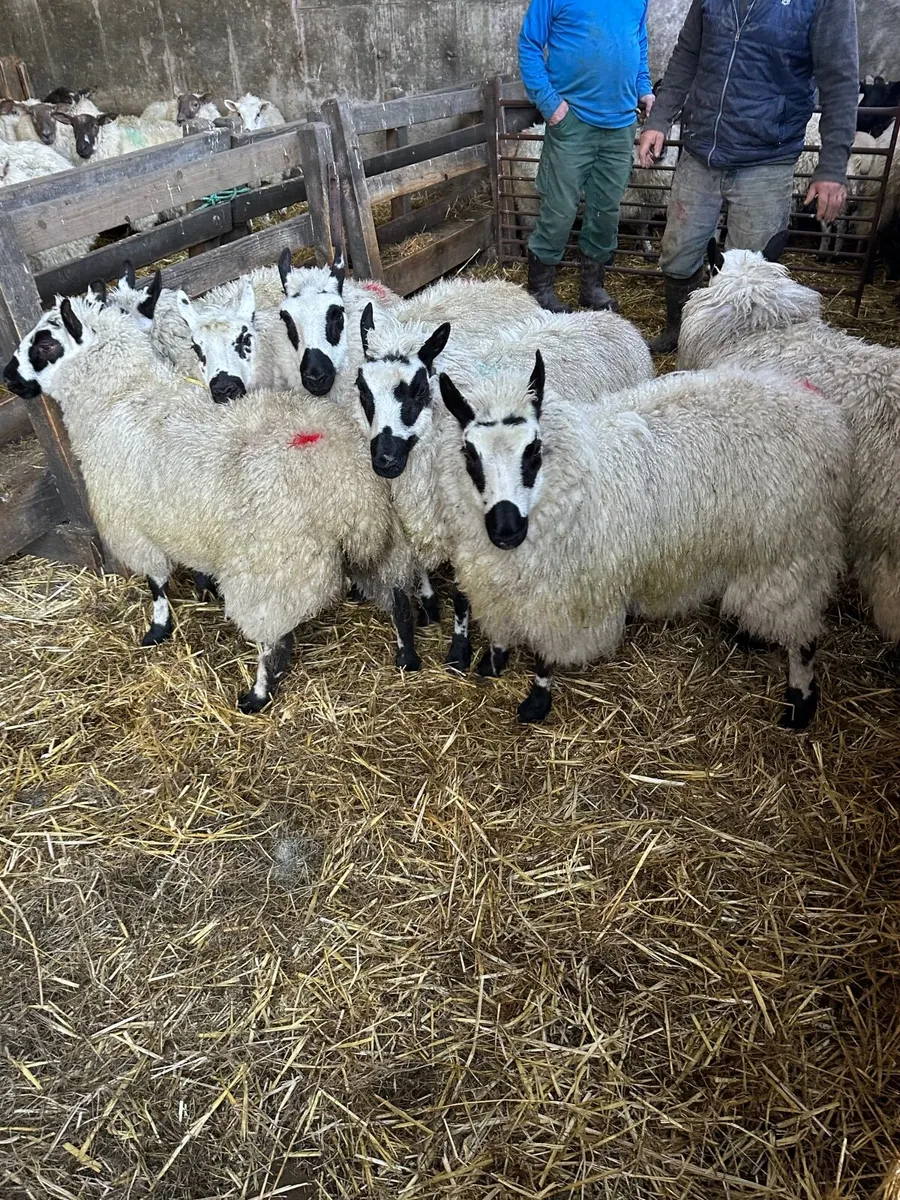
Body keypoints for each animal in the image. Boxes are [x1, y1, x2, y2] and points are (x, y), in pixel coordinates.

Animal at [2, 295, 411, 711]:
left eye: (46, 344)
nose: (8, 377)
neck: (122, 395)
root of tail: (348, 486)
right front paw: (202, 587)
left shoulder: (134, 529)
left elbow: (157, 584)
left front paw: (158, 629)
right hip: (385, 540)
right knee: (399, 598)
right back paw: (407, 656)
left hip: (271, 570)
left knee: (273, 641)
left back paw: (256, 695)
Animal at [353, 302, 655, 669]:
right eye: (362, 390)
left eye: (420, 390)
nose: (385, 460)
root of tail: (611, 317)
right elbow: (414, 574)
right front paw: (424, 612)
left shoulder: (469, 532)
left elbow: (463, 595)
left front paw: (459, 650)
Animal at [435, 353, 849, 728]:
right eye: (469, 454)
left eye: (534, 449)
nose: (506, 531)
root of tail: (819, 410)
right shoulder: (497, 587)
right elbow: (500, 629)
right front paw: (492, 660)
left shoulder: (568, 601)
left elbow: (546, 656)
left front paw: (537, 700)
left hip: (791, 551)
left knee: (803, 635)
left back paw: (799, 702)